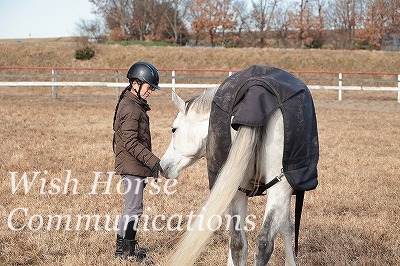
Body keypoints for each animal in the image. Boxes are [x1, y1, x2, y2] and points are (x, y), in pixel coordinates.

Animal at [159, 65, 318, 266]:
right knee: (263, 241)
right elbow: (285, 227)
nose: (162, 165)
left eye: (173, 129)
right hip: (278, 186)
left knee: (238, 242)